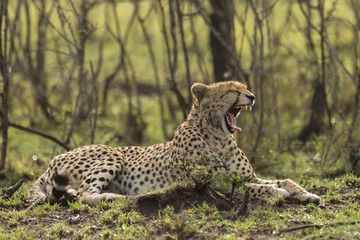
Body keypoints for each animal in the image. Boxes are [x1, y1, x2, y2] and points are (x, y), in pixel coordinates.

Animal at [28, 80, 320, 204]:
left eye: (245, 88)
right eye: (233, 91)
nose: (252, 96)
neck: (218, 136)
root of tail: (54, 158)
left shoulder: (244, 175)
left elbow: (282, 180)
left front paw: (305, 193)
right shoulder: (212, 181)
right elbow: (253, 188)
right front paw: (277, 194)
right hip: (112, 155)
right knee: (84, 194)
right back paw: (115, 196)